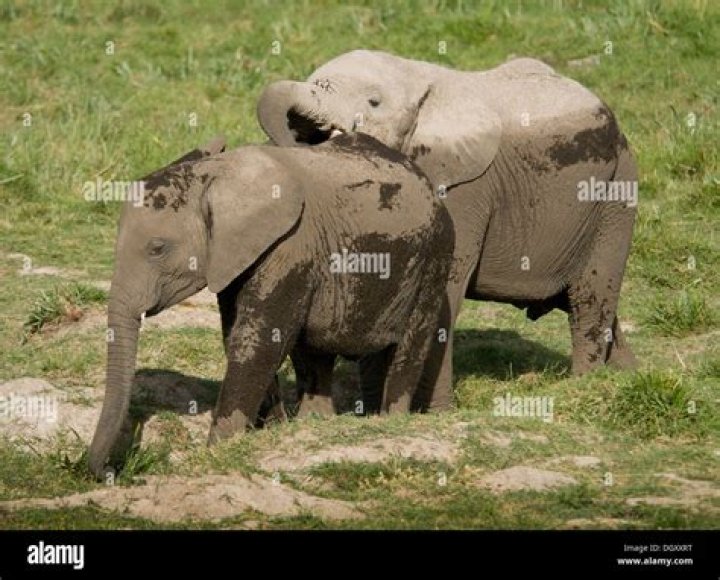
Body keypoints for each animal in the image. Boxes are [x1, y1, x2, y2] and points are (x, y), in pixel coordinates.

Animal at [87, 132, 454, 477]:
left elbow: (256, 343)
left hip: (435, 257)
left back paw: (389, 419)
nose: (108, 470)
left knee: (410, 345)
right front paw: (270, 432)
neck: (215, 174)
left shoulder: (289, 247)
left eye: (157, 249)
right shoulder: (238, 257)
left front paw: (217, 449)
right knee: (313, 350)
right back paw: (313, 423)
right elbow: (239, 336)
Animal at [257, 49, 638, 411]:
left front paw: (435, 412)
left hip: (616, 192)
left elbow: (442, 294)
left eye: (373, 102)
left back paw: (586, 383)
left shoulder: (463, 190)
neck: (417, 80)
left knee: (590, 296)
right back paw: (626, 376)